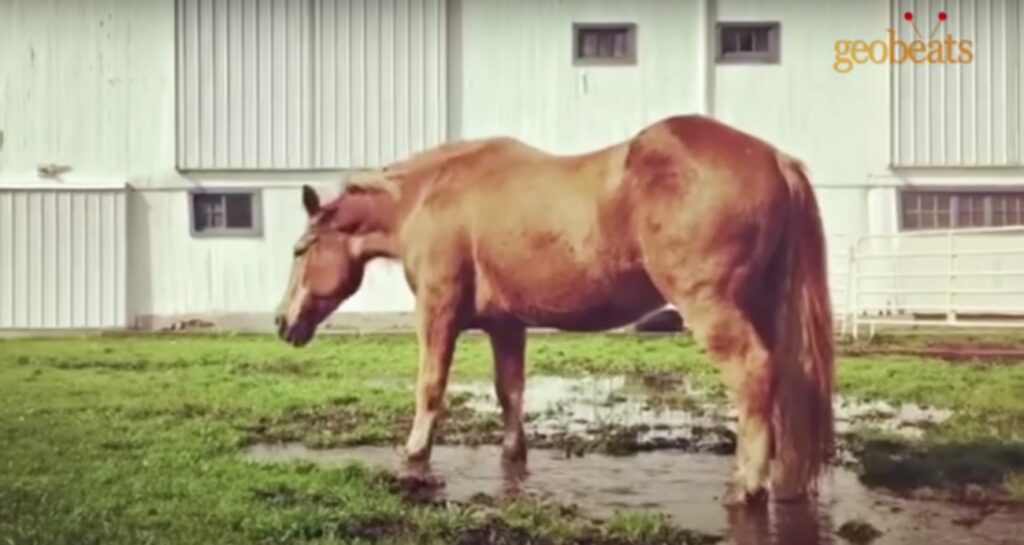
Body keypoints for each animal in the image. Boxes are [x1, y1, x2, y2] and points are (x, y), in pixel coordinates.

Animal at [276, 114, 835, 506]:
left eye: (300, 250)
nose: (283, 322)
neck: (429, 196)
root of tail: (775, 159)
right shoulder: (506, 325)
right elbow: (510, 392)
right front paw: (512, 456)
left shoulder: (438, 311)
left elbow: (430, 387)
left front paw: (413, 455)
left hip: (713, 308)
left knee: (753, 374)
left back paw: (747, 485)